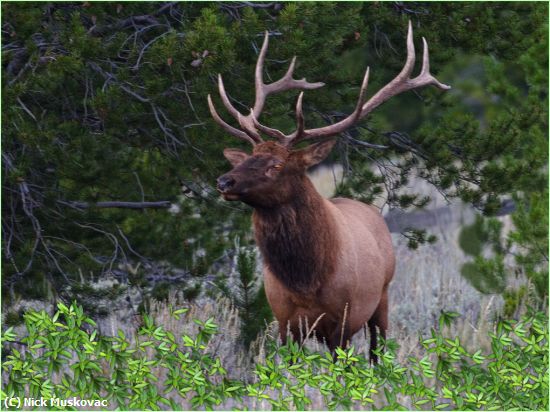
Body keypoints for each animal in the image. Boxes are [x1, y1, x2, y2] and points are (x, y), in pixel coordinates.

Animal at [209, 22, 450, 360]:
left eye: (276, 165)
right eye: (249, 156)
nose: (224, 182)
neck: (306, 281)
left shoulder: (343, 321)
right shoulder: (284, 322)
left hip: (382, 298)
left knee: (377, 352)